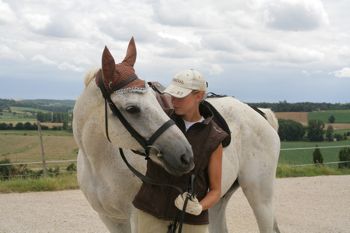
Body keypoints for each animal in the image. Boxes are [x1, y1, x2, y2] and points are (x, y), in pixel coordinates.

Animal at [72, 38, 280, 233]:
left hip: (260, 198)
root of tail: (260, 113)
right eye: (132, 108)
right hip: (218, 200)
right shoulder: (111, 219)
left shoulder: (135, 217)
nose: (185, 155)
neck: (99, 163)